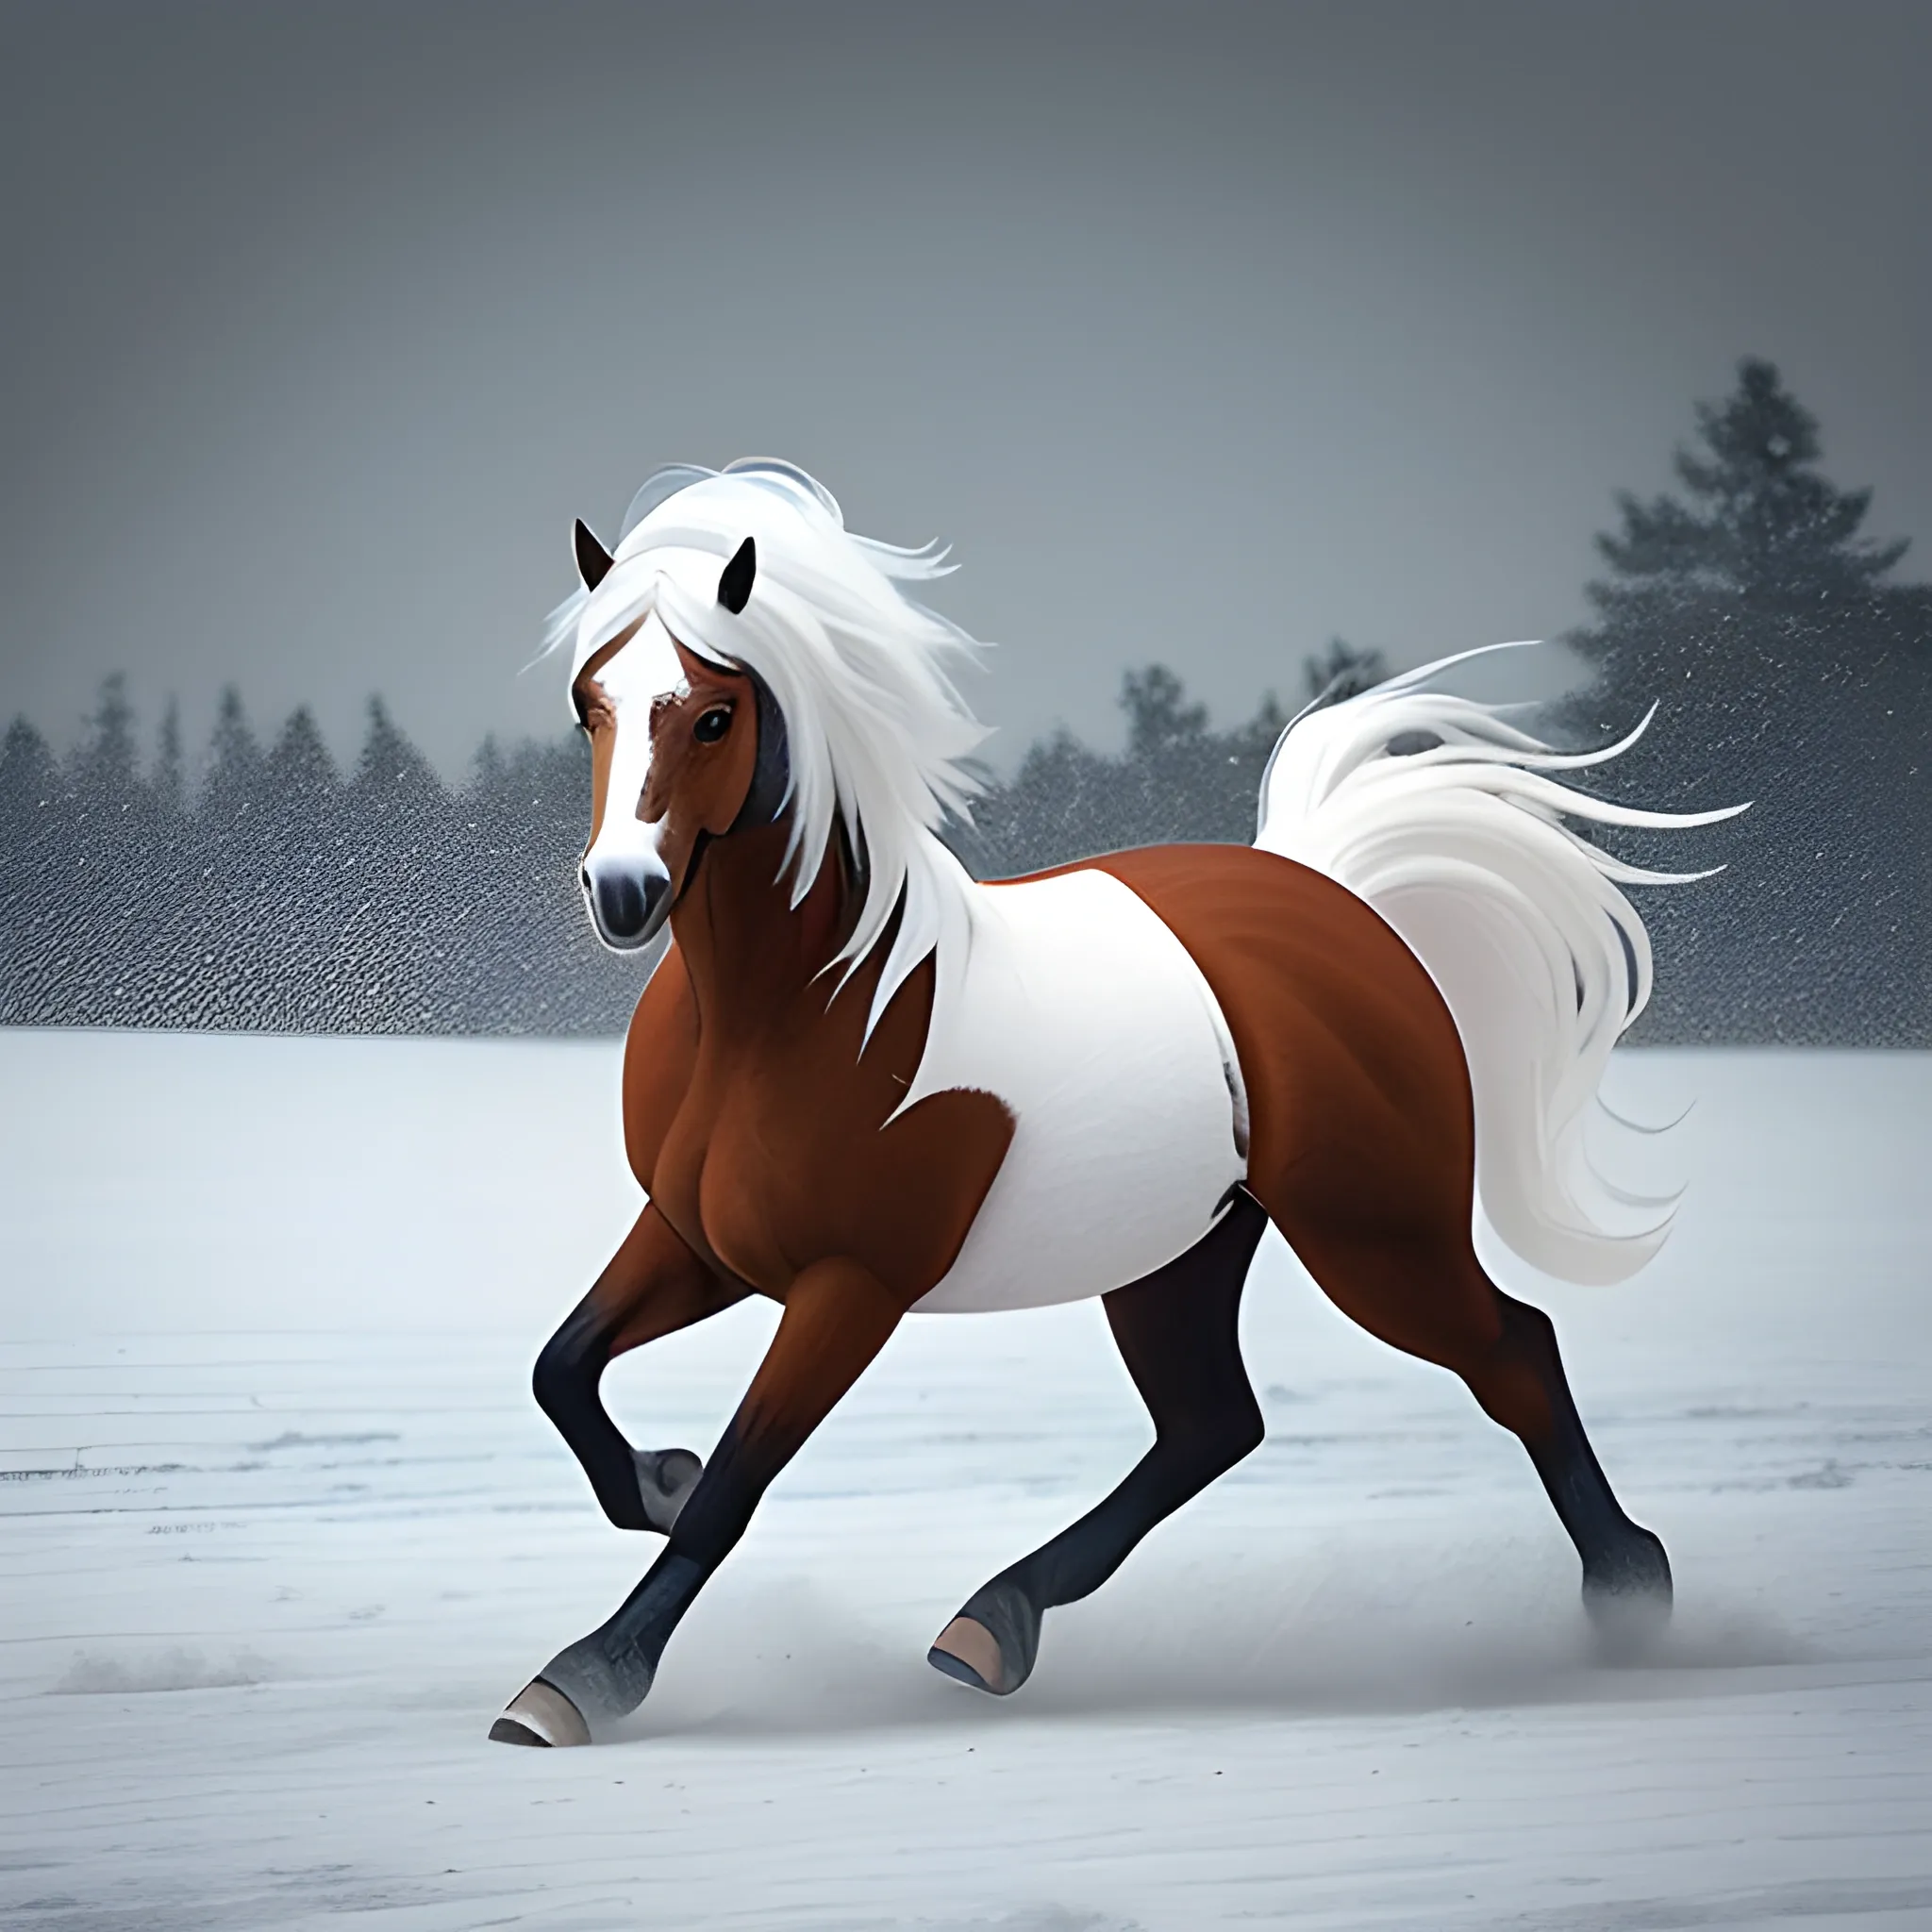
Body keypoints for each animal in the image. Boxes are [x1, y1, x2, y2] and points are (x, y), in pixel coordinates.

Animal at [487, 459, 1739, 1746]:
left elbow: (736, 1483)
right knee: (1212, 1421)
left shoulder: (850, 1282)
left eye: (713, 714)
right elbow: (560, 1368)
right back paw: (991, 1622)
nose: (621, 891)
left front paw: (582, 1675)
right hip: (1177, 1249)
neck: (794, 1006)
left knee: (1510, 1350)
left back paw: (1630, 1593)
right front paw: (654, 1477)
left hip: (1375, 1233)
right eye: (589, 704)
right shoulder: (698, 1239)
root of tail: (1333, 891)